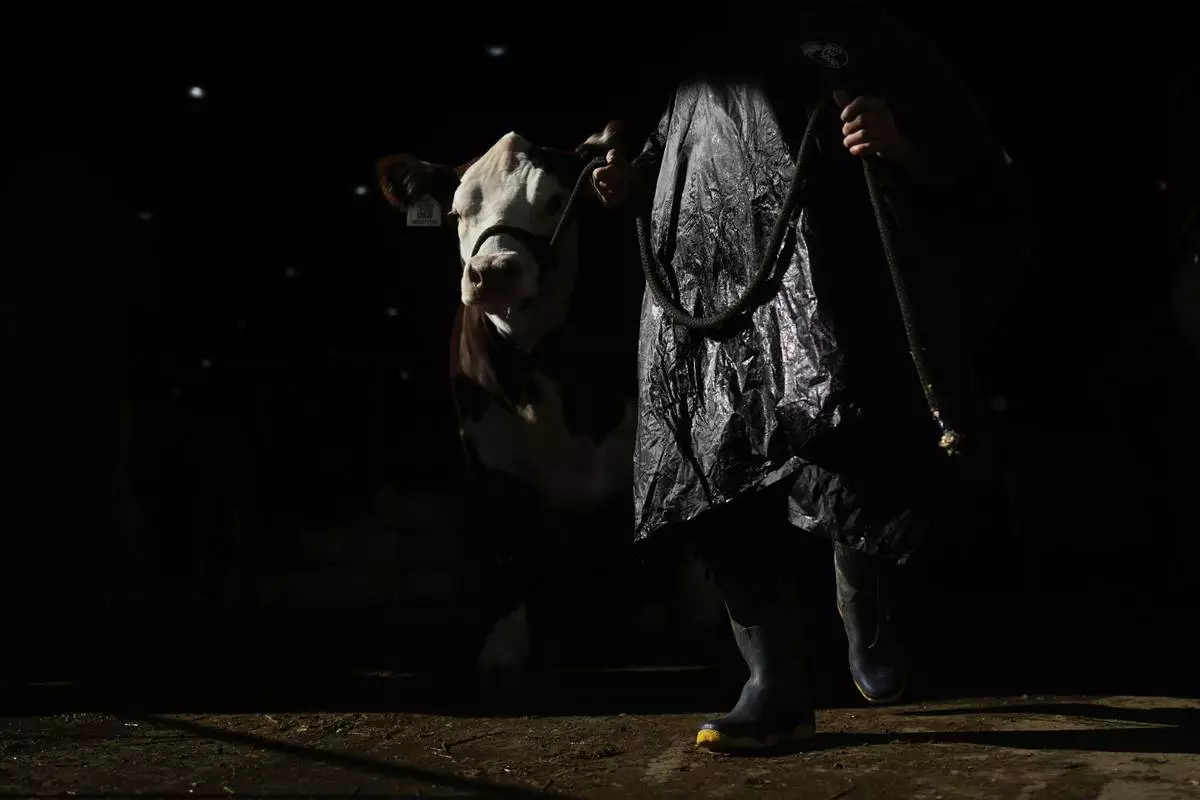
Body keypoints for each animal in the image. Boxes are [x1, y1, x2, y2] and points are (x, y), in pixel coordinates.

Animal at [376, 123, 724, 697]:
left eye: (556, 201)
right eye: (456, 212)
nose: (492, 272)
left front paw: (703, 624)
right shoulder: (489, 455)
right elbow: (507, 548)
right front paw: (503, 655)